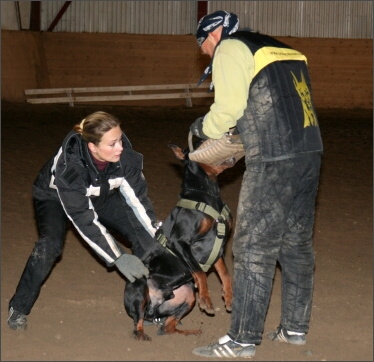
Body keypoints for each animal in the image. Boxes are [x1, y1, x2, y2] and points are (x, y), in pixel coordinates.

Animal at [123, 144, 234, 340]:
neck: (207, 196)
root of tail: (154, 307)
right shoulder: (179, 242)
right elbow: (200, 272)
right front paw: (206, 300)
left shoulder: (217, 249)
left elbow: (226, 274)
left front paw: (228, 297)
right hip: (140, 285)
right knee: (138, 320)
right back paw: (141, 333)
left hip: (187, 294)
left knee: (166, 328)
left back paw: (191, 332)